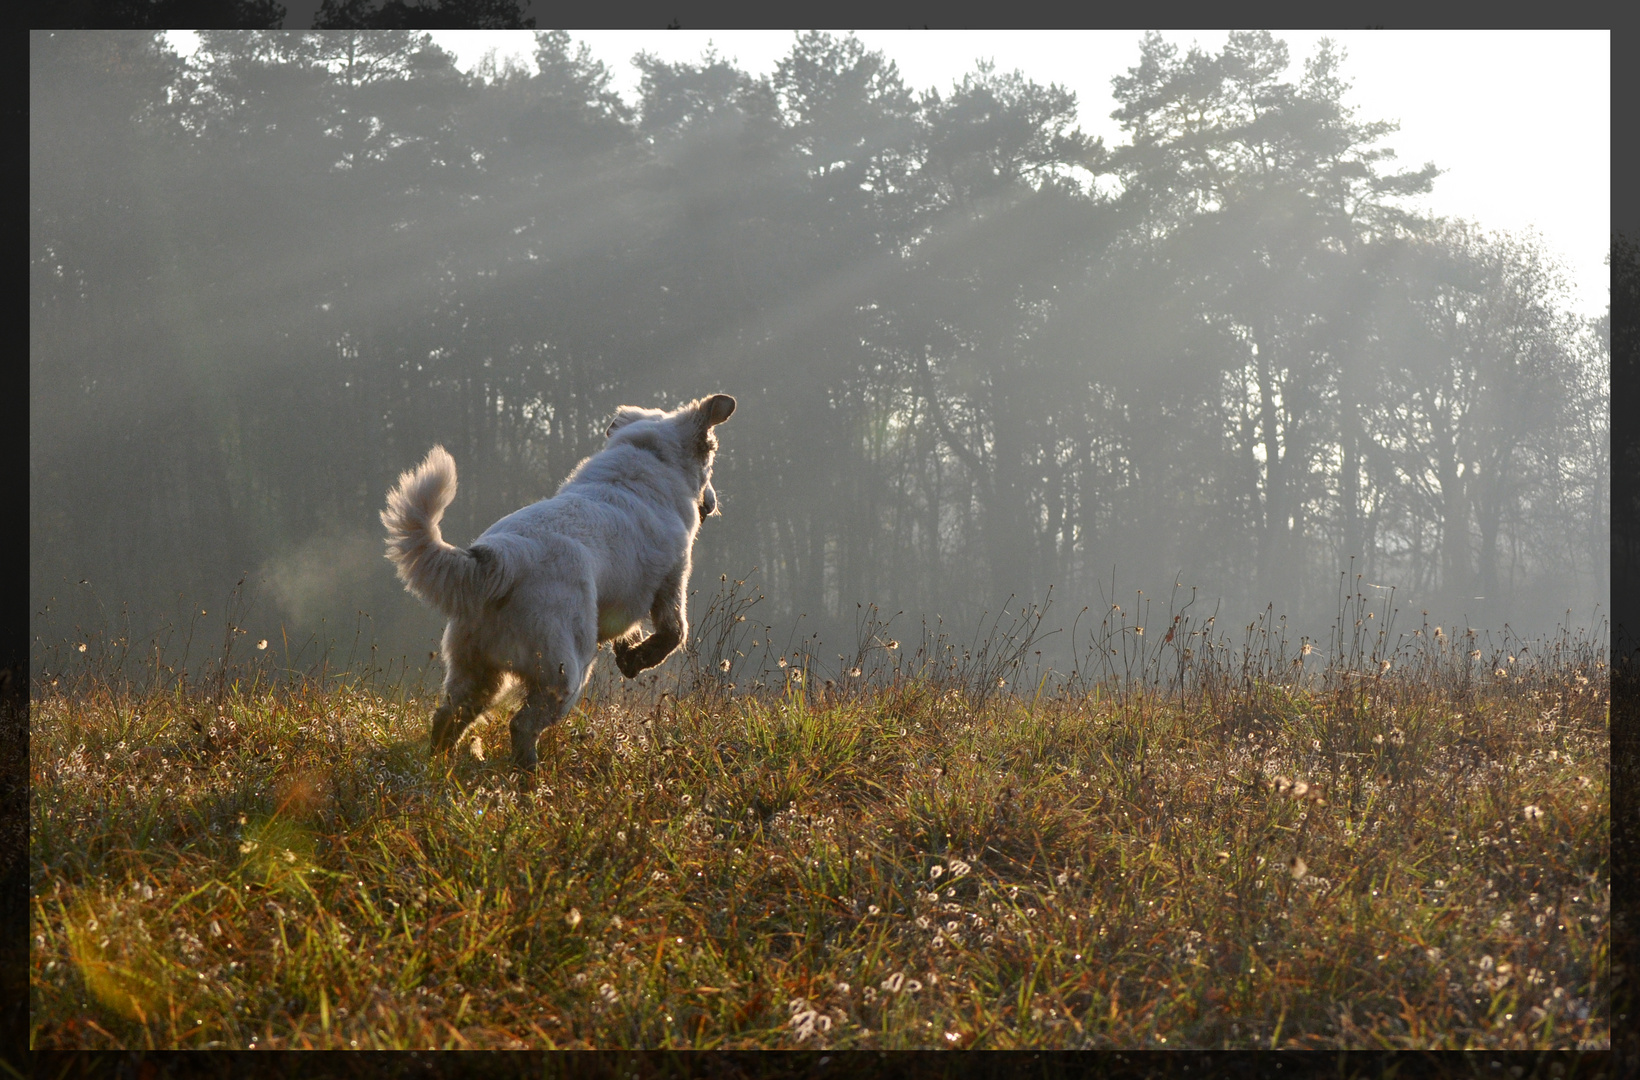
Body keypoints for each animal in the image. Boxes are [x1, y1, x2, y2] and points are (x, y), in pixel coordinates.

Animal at [380, 393, 734, 773]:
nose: (711, 504)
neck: (648, 455)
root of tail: (503, 557)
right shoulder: (672, 578)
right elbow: (673, 633)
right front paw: (640, 659)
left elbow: (630, 633)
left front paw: (628, 656)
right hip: (565, 674)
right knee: (521, 725)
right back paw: (531, 775)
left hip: (477, 673)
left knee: (447, 717)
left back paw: (439, 767)